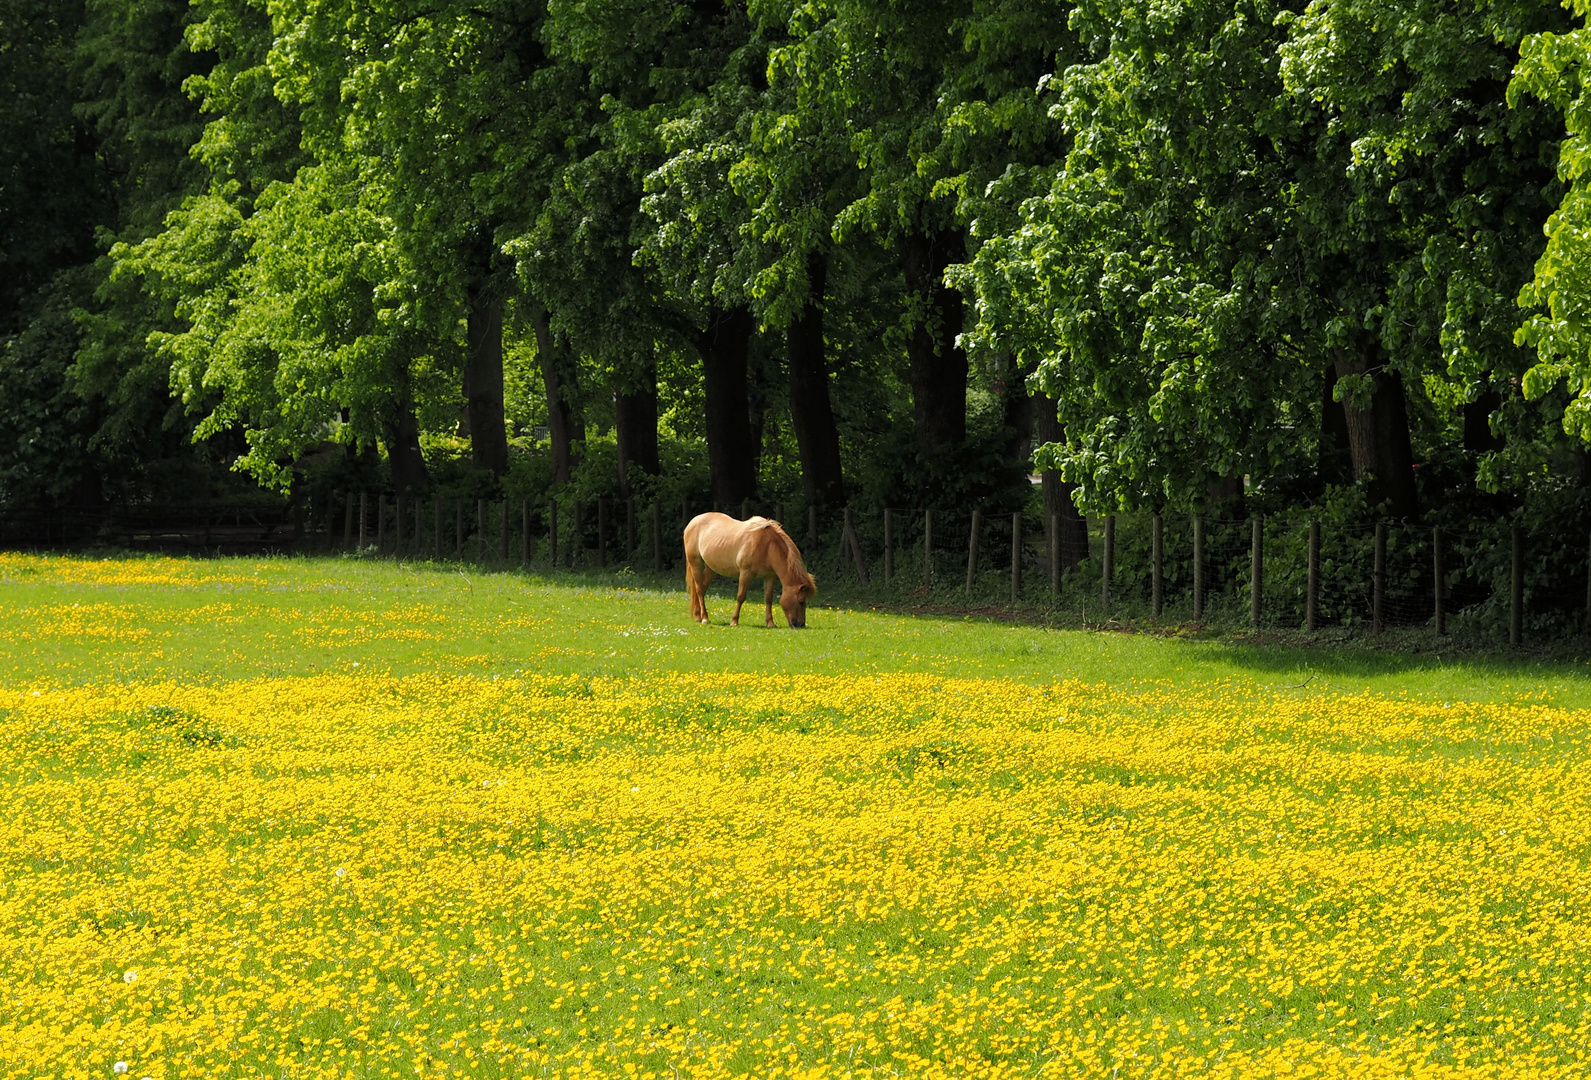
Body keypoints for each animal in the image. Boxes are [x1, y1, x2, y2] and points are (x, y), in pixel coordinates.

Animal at [680, 512, 820, 629]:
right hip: (696, 563)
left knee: (702, 589)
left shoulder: (770, 577)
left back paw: (698, 616)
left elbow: (768, 598)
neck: (766, 546)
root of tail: (693, 521)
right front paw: (734, 621)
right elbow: (741, 597)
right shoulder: (745, 574)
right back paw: (705, 619)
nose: (800, 625)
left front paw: (770, 623)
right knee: (699, 590)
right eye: (801, 602)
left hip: (711, 568)